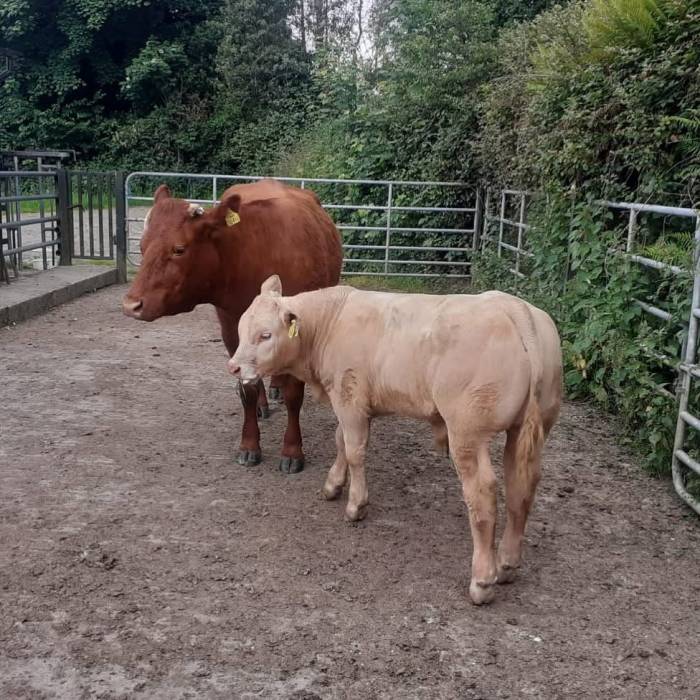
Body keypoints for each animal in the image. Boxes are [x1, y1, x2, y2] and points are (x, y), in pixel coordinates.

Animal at [122, 180, 343, 473]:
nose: (131, 304)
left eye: (179, 249)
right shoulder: (230, 331)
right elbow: (246, 391)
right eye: (143, 246)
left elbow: (294, 394)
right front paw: (249, 444)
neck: (252, 257)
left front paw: (292, 449)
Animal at [228, 276, 563, 605]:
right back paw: (507, 564)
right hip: (529, 429)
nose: (233, 366)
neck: (330, 322)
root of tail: (513, 308)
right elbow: (341, 441)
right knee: (521, 488)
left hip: (467, 432)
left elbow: (354, 451)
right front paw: (333, 485)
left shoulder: (349, 397)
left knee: (482, 495)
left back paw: (482, 581)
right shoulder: (354, 403)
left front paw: (356, 505)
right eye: (242, 329)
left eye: (265, 335)